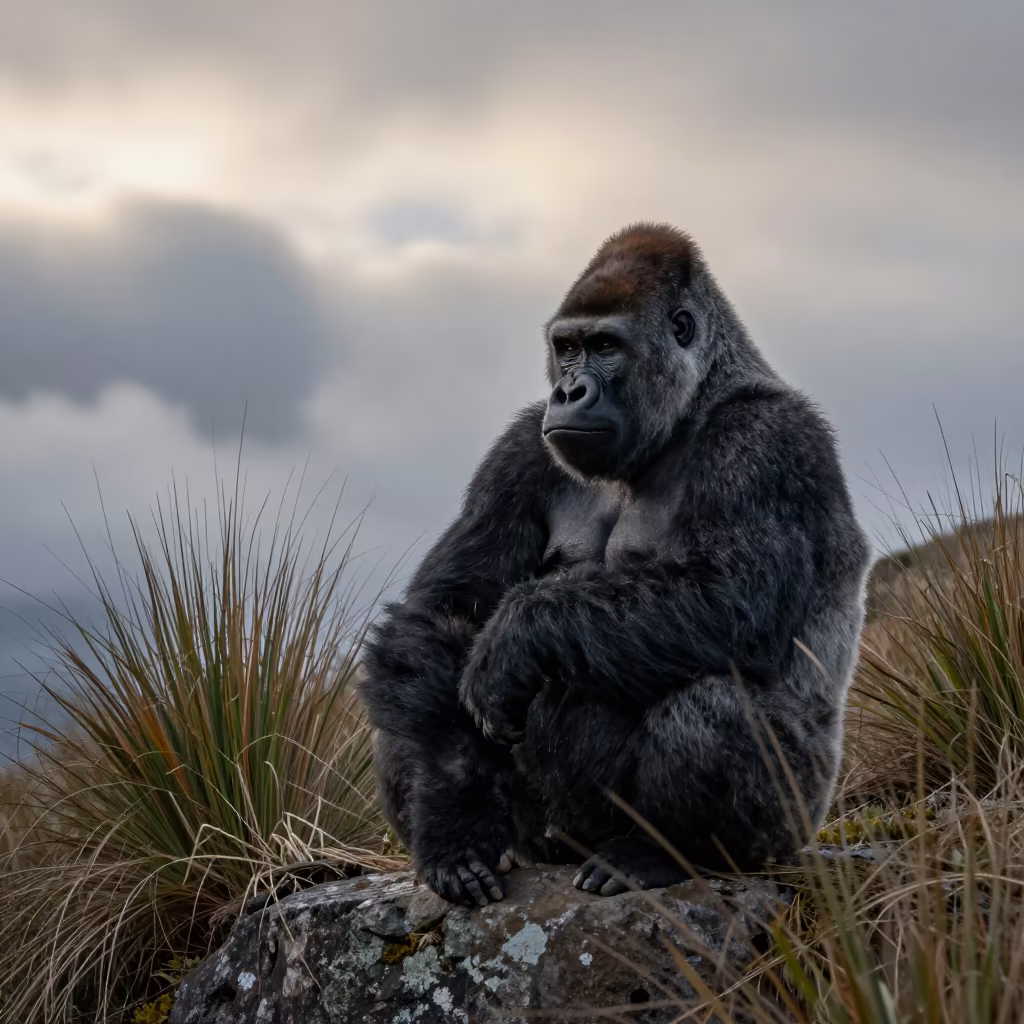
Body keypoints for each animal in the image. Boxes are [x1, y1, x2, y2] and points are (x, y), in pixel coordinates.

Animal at [359, 223, 871, 905]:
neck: (692, 403)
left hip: (790, 828)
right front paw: (454, 816)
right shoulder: (519, 448)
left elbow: (731, 602)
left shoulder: (767, 440)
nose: (568, 390)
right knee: (407, 691)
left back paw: (665, 853)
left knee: (713, 705)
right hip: (541, 835)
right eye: (567, 348)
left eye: (606, 346)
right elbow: (440, 615)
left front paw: (520, 632)